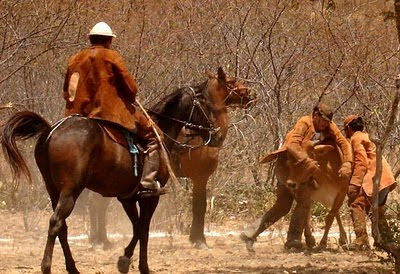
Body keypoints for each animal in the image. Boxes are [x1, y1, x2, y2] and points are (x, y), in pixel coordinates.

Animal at [0, 67, 247, 274]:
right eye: (205, 107)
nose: (216, 135)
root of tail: (52, 130)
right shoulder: (152, 196)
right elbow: (144, 229)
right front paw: (139, 264)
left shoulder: (127, 197)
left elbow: (137, 227)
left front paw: (126, 259)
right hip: (71, 190)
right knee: (57, 222)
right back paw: (49, 265)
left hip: (54, 190)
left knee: (63, 227)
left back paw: (74, 266)